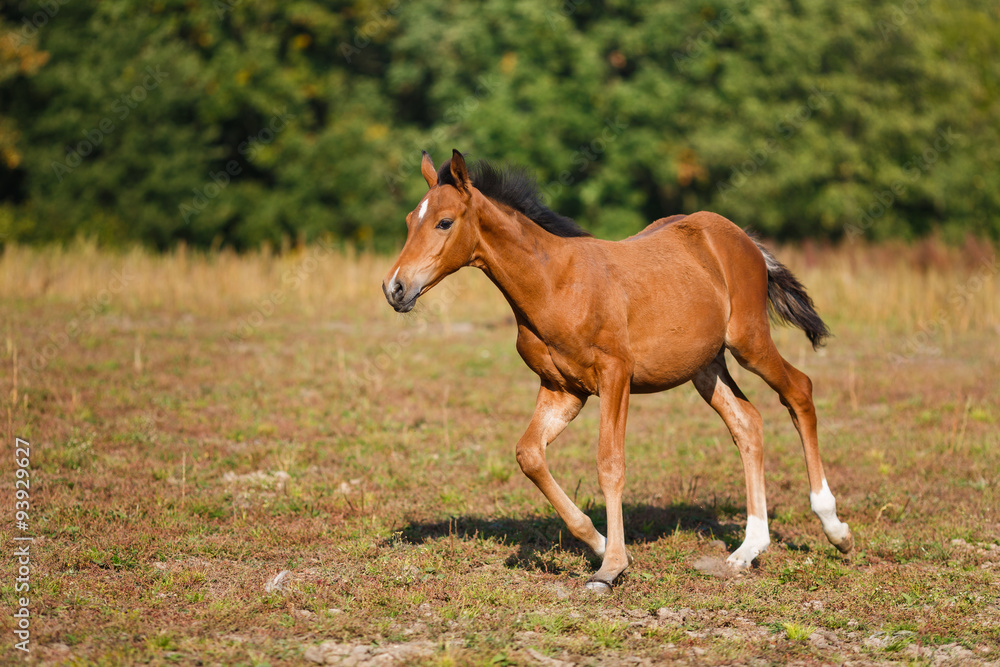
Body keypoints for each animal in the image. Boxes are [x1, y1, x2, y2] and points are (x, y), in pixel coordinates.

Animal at [382, 149, 853, 592]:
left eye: (444, 222)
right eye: (407, 221)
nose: (395, 288)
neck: (554, 283)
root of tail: (741, 237)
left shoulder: (615, 376)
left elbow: (609, 463)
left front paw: (610, 568)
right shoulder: (562, 389)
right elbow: (529, 454)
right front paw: (601, 543)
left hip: (749, 341)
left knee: (799, 390)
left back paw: (835, 529)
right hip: (706, 365)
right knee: (747, 422)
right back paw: (748, 548)